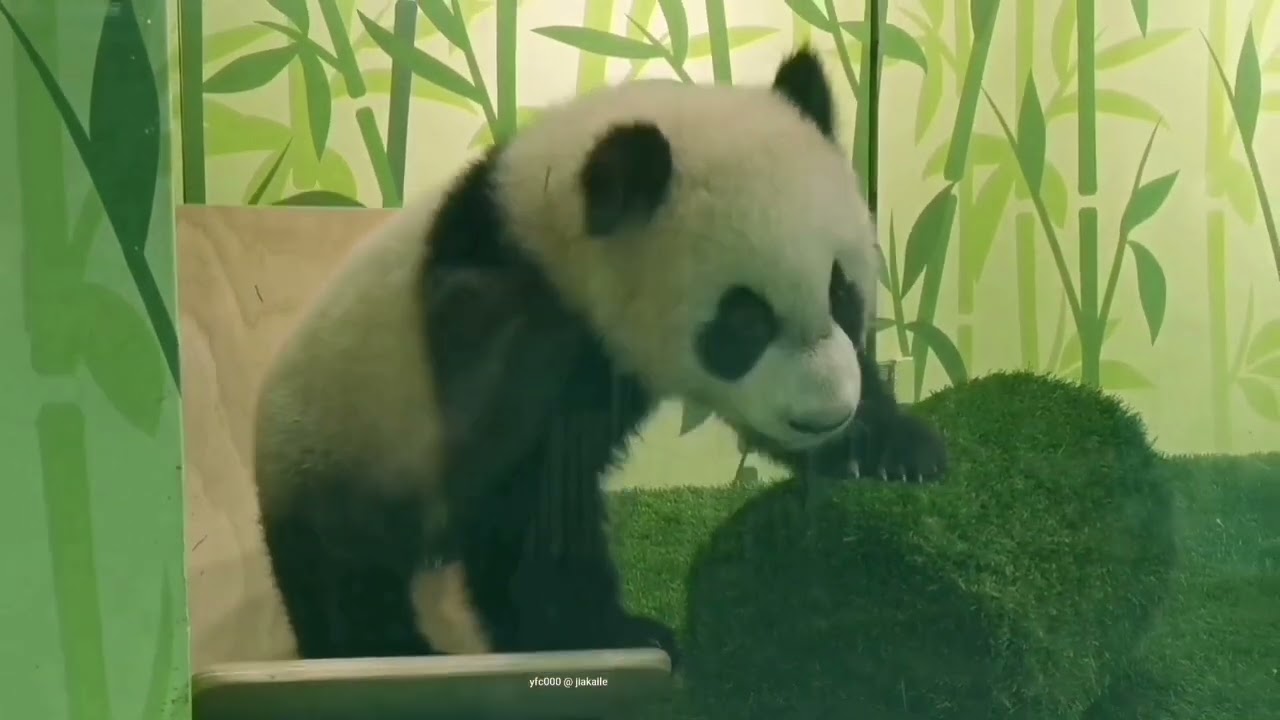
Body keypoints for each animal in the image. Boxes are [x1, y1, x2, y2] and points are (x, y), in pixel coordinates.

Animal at [252, 47, 947, 665]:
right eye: (743, 323)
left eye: (842, 292)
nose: (825, 415)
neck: (544, 219)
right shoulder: (508, 332)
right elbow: (532, 504)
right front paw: (617, 633)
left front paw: (893, 452)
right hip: (341, 443)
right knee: (343, 571)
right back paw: (383, 646)